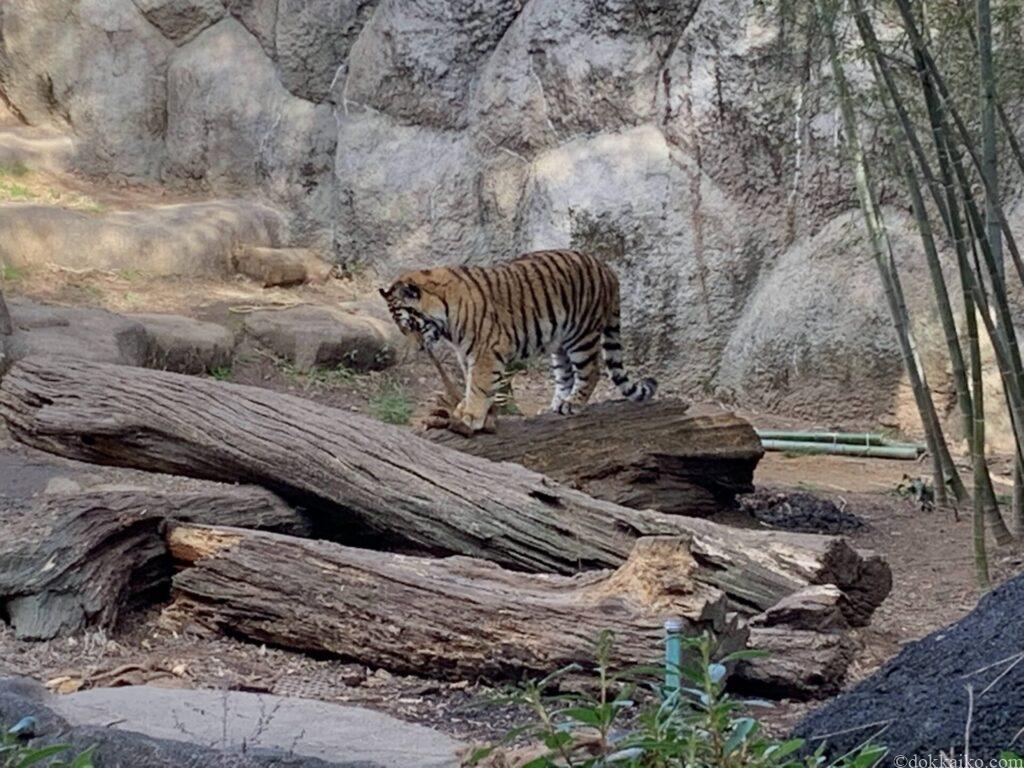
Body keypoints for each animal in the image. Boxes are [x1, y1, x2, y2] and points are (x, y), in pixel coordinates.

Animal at [378, 250, 655, 436]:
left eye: (410, 326)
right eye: (401, 329)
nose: (419, 349)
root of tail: (607, 269)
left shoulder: (486, 350)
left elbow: (478, 384)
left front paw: (470, 415)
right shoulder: (466, 353)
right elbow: (470, 382)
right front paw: (466, 409)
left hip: (582, 337)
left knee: (591, 371)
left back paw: (572, 404)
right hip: (559, 343)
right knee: (565, 374)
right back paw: (556, 405)